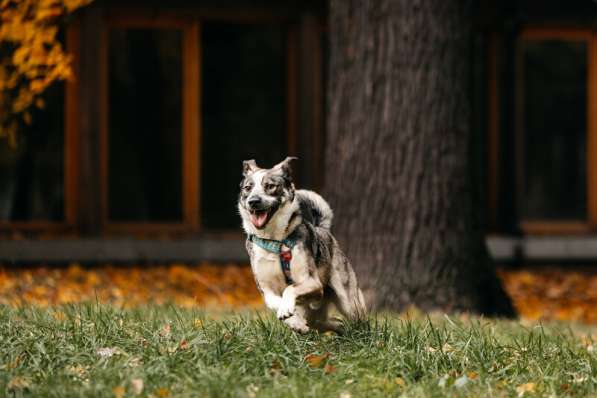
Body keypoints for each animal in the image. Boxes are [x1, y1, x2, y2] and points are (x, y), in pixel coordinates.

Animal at [236, 156, 364, 332]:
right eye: (248, 188)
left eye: (270, 186)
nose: (253, 201)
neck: (275, 241)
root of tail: (322, 229)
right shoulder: (266, 290)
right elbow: (276, 302)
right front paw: (294, 322)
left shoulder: (312, 283)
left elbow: (290, 288)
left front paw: (289, 313)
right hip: (318, 312)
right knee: (326, 322)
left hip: (348, 301)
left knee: (358, 320)